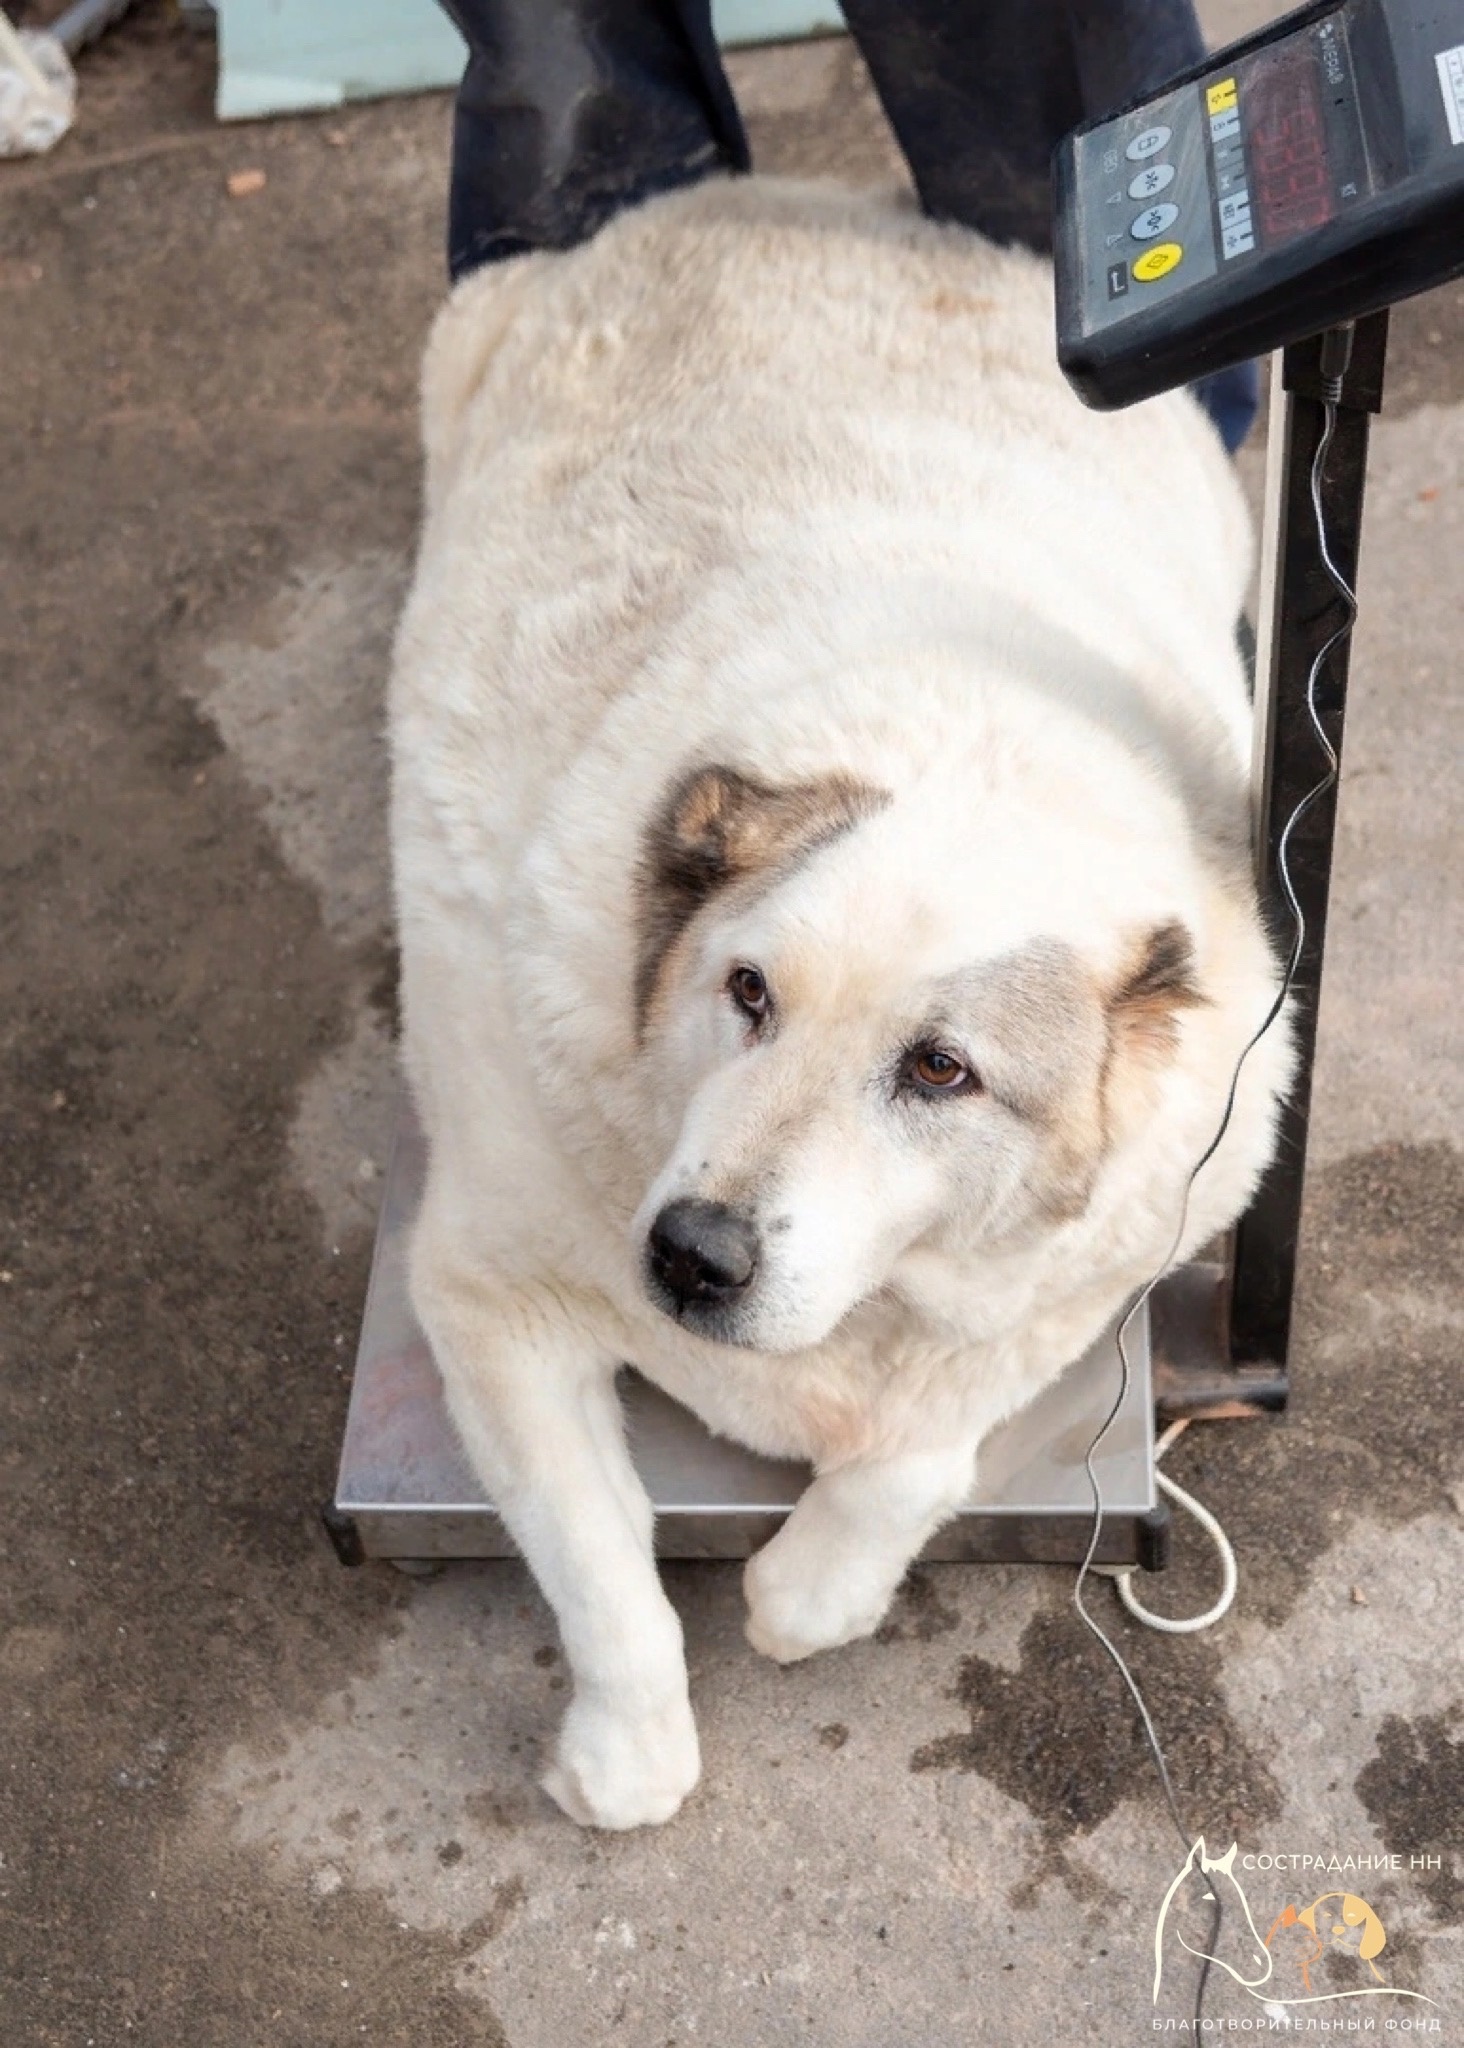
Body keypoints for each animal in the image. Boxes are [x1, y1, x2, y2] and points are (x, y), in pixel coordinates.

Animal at [393, 180, 1294, 1826]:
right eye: (746, 991)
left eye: (941, 1070)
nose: (692, 1255)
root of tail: (786, 198)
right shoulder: (486, 1289)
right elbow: (596, 1555)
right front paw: (627, 1748)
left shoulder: (1144, 1223)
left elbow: (919, 1447)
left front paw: (811, 1588)